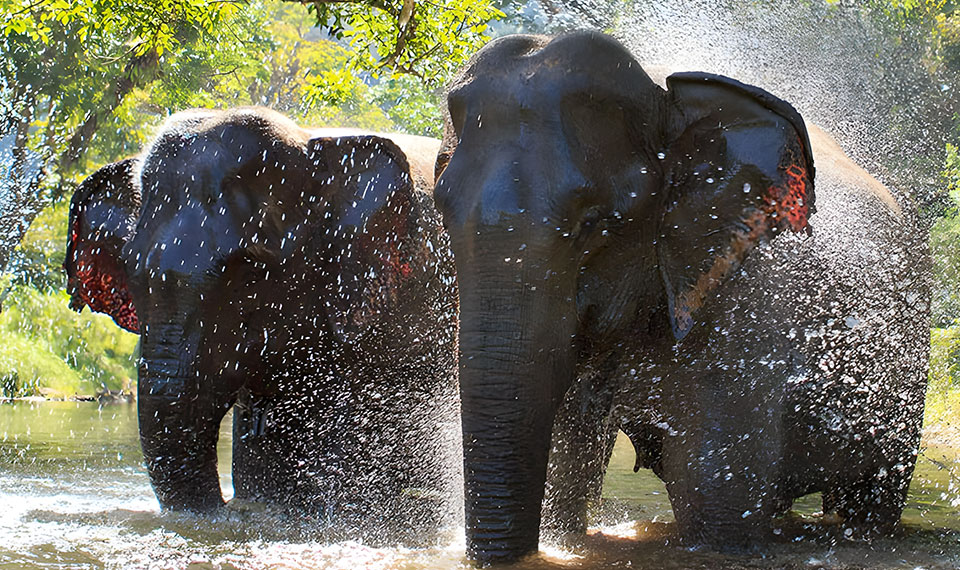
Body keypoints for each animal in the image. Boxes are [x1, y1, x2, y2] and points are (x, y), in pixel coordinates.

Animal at [433, 31, 929, 564]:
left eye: (594, 224)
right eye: (441, 210)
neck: (667, 100)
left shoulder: (742, 311)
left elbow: (715, 505)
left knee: (875, 497)